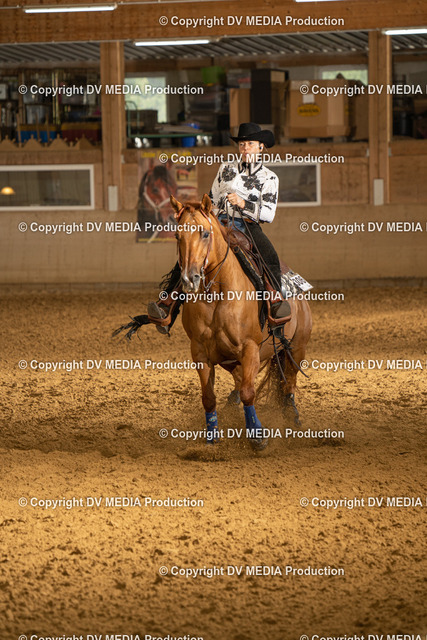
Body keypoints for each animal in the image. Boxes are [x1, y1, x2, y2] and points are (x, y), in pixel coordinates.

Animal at [116, 194, 312, 450]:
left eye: (205, 233)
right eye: (177, 235)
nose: (189, 279)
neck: (218, 294)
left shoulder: (250, 348)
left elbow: (249, 392)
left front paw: (257, 436)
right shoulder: (200, 351)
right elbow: (209, 397)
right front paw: (212, 438)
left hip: (296, 348)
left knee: (288, 383)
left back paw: (292, 417)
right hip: (234, 359)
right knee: (242, 383)